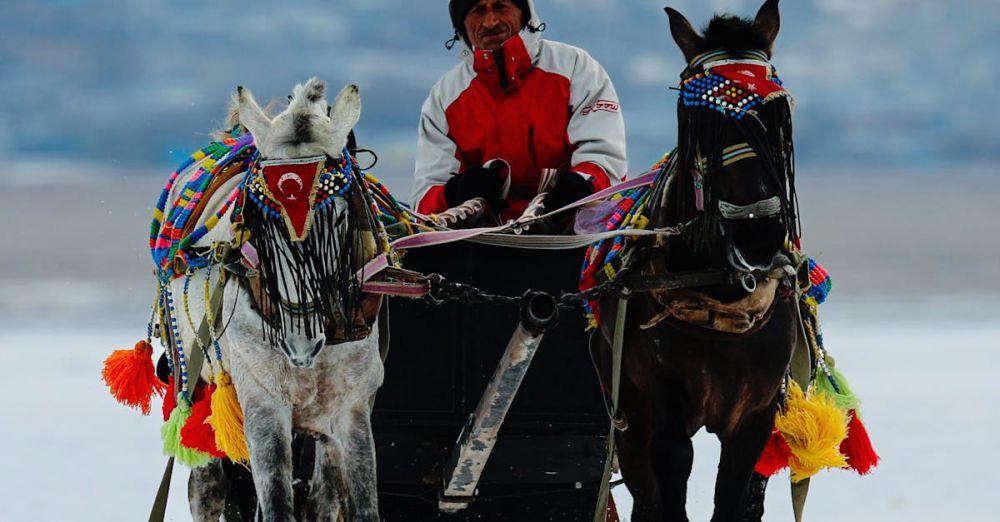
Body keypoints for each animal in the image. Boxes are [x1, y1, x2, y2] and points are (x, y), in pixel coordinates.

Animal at [592, 2, 804, 516]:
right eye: (698, 119)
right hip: (627, 412)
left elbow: (734, 497)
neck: (718, 295)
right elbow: (671, 485)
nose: (758, 232)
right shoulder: (662, 413)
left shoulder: (757, 416)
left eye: (776, 113)